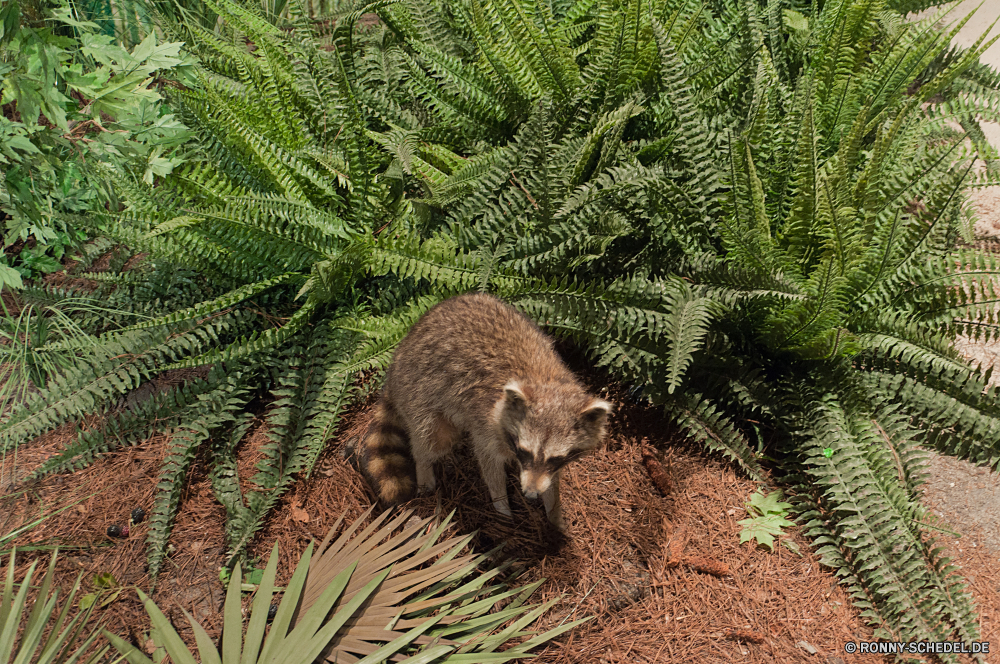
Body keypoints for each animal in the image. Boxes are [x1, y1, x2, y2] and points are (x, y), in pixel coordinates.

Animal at [360, 290, 608, 528]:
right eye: (525, 451)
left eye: (556, 458)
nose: (531, 494)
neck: (544, 379)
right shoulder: (485, 422)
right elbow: (489, 465)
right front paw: (502, 508)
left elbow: (552, 478)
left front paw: (554, 512)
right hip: (417, 392)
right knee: (433, 438)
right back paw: (423, 466)